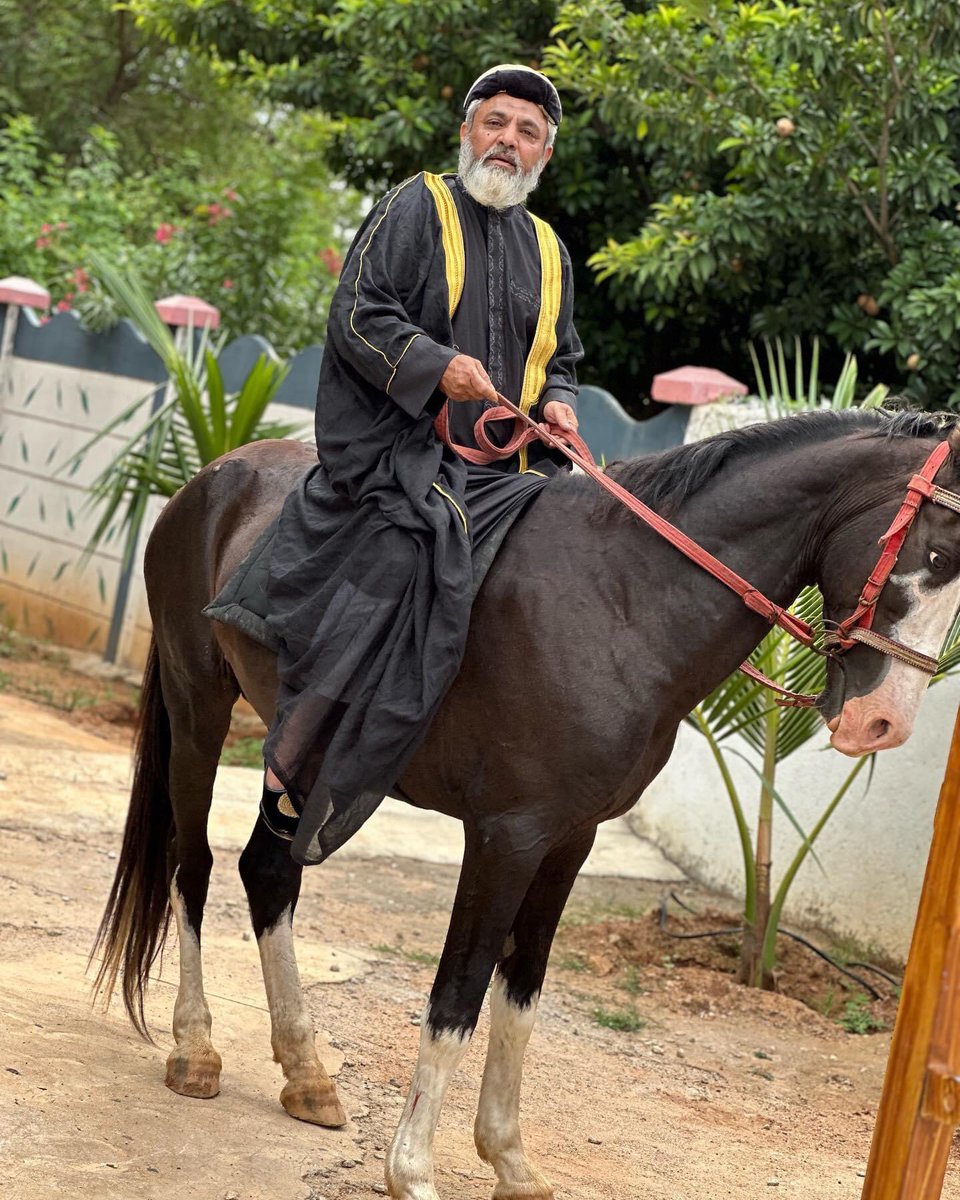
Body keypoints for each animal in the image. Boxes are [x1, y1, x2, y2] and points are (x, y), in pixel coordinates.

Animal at [93, 408, 960, 1200]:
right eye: (939, 552)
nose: (883, 722)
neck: (622, 602)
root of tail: (216, 474)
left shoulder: (571, 837)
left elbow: (523, 987)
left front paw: (507, 1158)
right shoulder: (505, 836)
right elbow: (458, 992)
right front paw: (412, 1171)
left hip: (300, 745)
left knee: (268, 872)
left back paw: (306, 1072)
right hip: (199, 707)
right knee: (193, 866)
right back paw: (195, 1049)